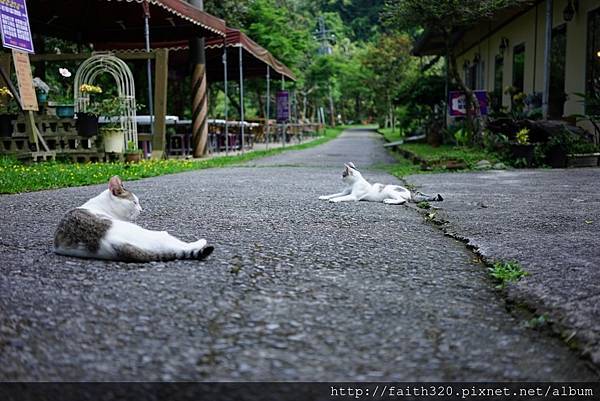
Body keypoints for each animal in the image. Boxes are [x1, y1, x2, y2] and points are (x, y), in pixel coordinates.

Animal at [53, 176, 213, 262]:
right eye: (134, 202)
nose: (141, 210)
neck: (101, 205)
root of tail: (114, 243)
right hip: (160, 236)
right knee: (181, 247)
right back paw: (201, 241)